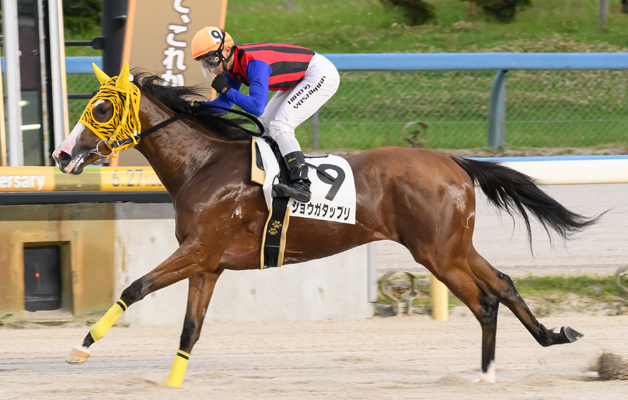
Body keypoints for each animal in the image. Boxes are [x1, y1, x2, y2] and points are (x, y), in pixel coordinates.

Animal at [52, 64, 600, 386]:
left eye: (101, 107)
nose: (60, 154)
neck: (203, 164)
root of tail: (454, 161)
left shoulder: (198, 251)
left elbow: (136, 287)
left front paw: (79, 349)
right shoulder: (207, 263)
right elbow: (190, 328)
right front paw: (171, 382)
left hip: (437, 254)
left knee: (484, 301)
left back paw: (486, 375)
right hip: (454, 247)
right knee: (503, 283)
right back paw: (552, 337)